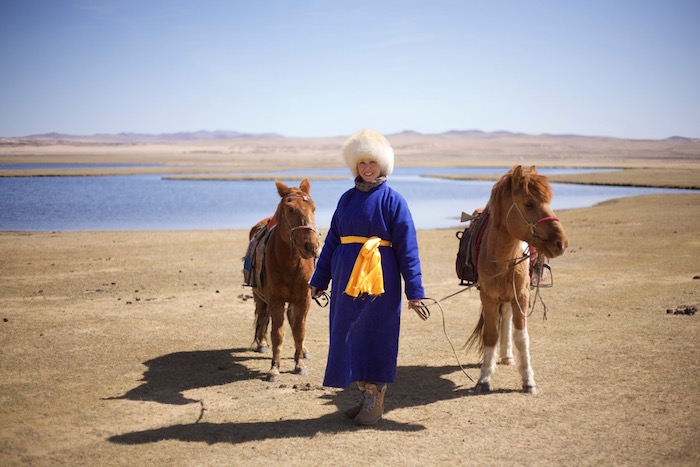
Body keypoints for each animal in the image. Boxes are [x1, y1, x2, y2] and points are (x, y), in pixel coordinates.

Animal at [247, 181, 318, 382]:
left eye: (313, 208)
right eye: (290, 209)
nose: (311, 246)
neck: (291, 264)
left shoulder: (303, 299)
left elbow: (299, 330)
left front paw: (299, 364)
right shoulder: (275, 300)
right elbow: (277, 334)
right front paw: (274, 369)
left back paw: (303, 351)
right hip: (258, 296)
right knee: (261, 315)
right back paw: (262, 343)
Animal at [464, 166, 568, 394]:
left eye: (548, 201)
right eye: (529, 203)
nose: (561, 243)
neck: (503, 259)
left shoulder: (521, 296)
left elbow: (522, 337)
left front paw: (528, 380)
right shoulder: (488, 298)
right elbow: (490, 334)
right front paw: (484, 378)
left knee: (507, 317)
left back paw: (507, 355)